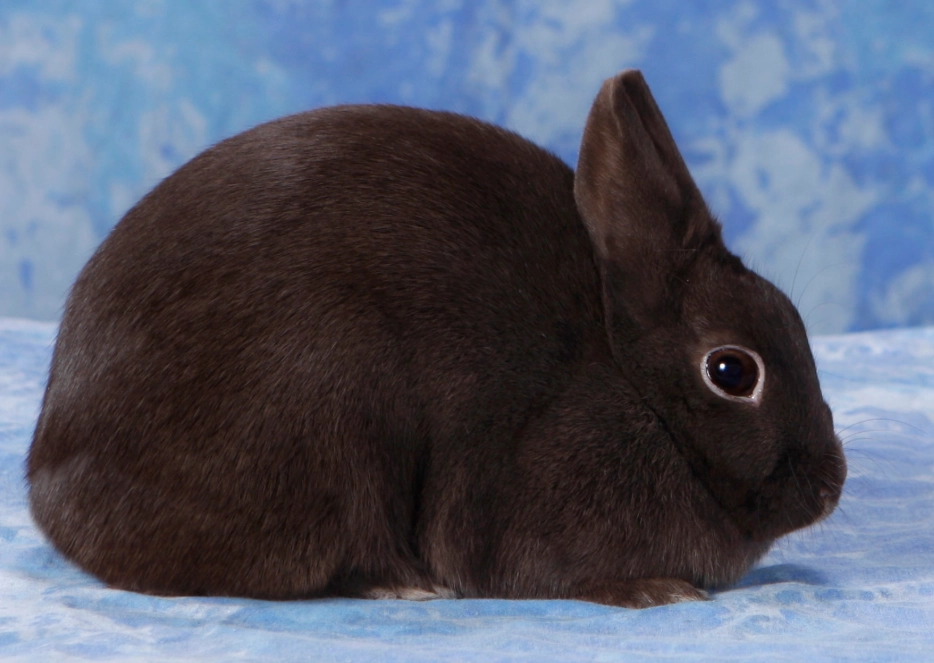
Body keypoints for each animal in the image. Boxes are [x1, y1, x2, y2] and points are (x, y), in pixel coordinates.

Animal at [26, 70, 846, 608]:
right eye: (732, 371)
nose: (830, 485)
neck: (633, 387)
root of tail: (51, 470)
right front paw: (658, 590)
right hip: (333, 404)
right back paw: (406, 585)